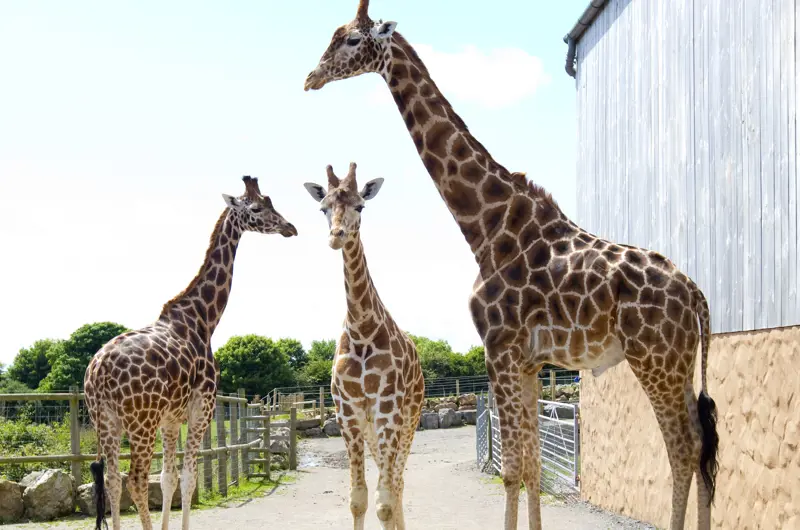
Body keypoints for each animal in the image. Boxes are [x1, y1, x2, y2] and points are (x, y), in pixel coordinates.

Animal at [83, 176, 297, 530]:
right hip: (140, 423)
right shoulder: (201, 409)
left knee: (113, 480)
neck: (203, 319)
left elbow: (169, 478)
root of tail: (98, 371)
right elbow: (188, 478)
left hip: (105, 421)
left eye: (272, 204)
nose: (289, 227)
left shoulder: (171, 420)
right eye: (256, 209)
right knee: (135, 480)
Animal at [303, 162, 425, 530]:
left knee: (398, 482)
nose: (337, 235)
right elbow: (358, 499)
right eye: (323, 207)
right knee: (393, 483)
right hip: (373, 427)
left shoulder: (388, 408)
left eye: (361, 206)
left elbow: (383, 501)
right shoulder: (348, 411)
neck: (362, 330)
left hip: (409, 418)